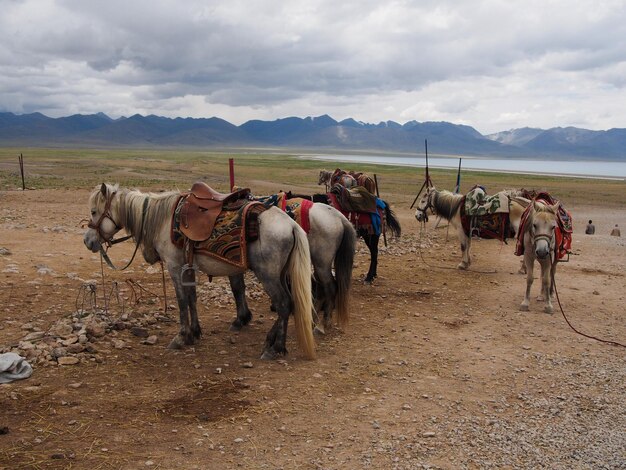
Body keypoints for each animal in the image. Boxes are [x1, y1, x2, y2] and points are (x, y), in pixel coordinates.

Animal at [82, 184, 314, 360]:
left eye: (94, 211)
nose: (87, 241)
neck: (161, 218)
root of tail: (291, 225)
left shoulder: (174, 266)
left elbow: (182, 300)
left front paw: (181, 336)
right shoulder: (188, 267)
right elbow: (192, 298)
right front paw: (195, 333)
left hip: (268, 274)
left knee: (284, 304)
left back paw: (275, 348)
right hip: (280, 274)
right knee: (290, 304)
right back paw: (271, 341)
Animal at [229, 196, 356, 336]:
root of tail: (339, 217)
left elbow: (237, 287)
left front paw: (241, 319)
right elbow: (238, 287)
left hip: (322, 263)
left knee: (330, 288)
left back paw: (321, 325)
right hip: (317, 263)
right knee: (321, 289)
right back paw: (313, 320)